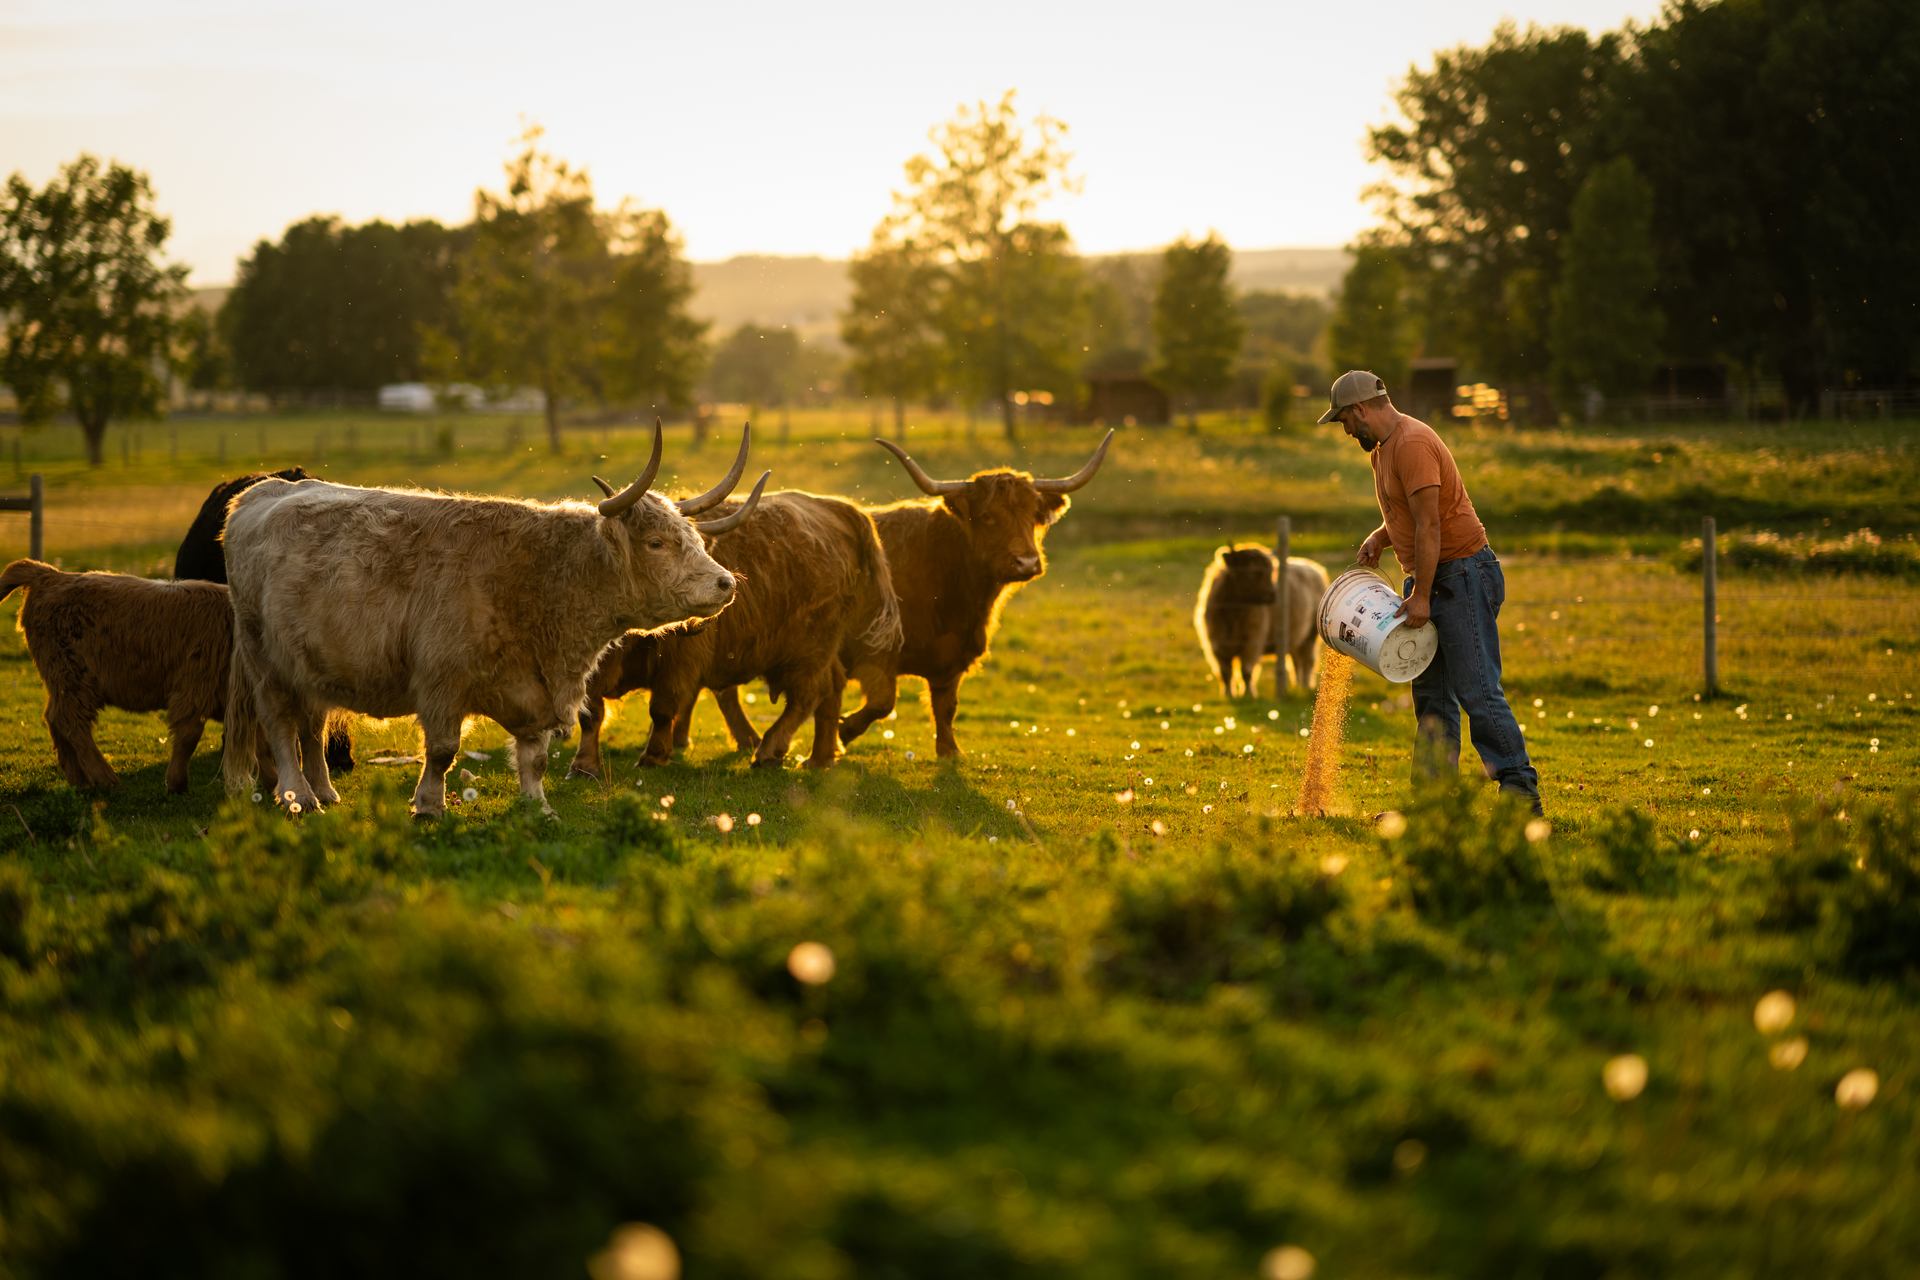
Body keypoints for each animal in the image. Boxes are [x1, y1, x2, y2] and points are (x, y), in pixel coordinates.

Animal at [1, 559, 268, 793]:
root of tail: (50, 575)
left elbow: (263, 743)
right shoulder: (194, 690)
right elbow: (189, 736)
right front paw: (176, 783)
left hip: (64, 680)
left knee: (55, 719)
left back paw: (79, 779)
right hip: (73, 676)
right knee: (70, 720)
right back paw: (105, 778)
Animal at [221, 423, 766, 817]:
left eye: (693, 537)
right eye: (656, 543)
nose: (726, 584)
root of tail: (262, 492)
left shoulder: (535, 691)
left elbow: (536, 757)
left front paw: (538, 807)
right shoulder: (441, 683)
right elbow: (443, 750)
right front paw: (429, 807)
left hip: (312, 665)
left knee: (312, 728)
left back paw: (325, 791)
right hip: (265, 663)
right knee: (280, 726)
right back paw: (298, 797)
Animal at [565, 490, 901, 776]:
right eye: (655, 543)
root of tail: (841, 509)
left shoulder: (680, 661)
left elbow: (662, 707)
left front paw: (654, 755)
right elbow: (590, 712)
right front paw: (584, 765)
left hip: (811, 645)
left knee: (810, 693)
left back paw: (769, 750)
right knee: (832, 687)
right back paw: (819, 758)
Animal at [726, 430, 1111, 761]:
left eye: (1034, 516)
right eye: (988, 516)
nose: (1027, 562)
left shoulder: (952, 658)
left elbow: (946, 706)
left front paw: (950, 751)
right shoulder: (878, 652)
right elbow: (883, 702)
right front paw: (845, 731)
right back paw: (752, 741)